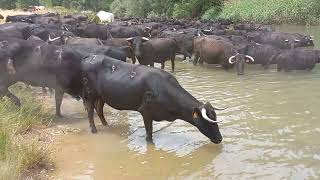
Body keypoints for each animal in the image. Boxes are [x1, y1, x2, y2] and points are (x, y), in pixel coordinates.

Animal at [81, 54, 224, 144]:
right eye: (208, 122)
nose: (220, 139)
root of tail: (90, 56)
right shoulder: (146, 112)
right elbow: (149, 134)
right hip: (90, 93)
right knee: (90, 110)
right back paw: (94, 130)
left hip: (102, 95)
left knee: (99, 109)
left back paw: (106, 125)